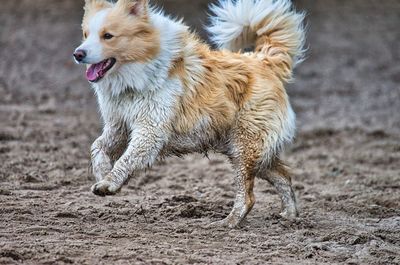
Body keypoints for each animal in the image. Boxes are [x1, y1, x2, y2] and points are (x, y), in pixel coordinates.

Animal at [73, 0, 304, 227]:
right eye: (85, 34)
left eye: (108, 36)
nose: (78, 54)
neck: (136, 77)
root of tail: (263, 60)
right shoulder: (118, 127)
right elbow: (97, 147)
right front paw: (102, 173)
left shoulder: (150, 130)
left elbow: (126, 160)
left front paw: (108, 184)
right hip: (246, 149)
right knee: (283, 176)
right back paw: (289, 216)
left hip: (244, 146)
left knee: (247, 196)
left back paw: (227, 222)